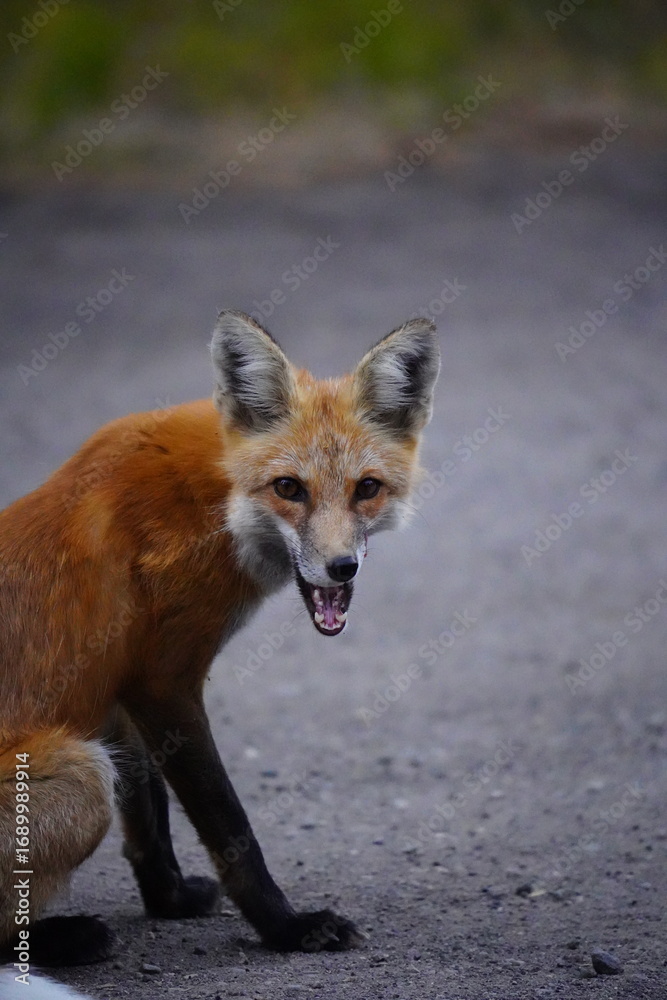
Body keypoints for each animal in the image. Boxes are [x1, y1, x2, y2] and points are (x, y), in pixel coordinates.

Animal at [0, 310, 440, 973]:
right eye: (289, 488)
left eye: (366, 488)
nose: (341, 568)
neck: (215, 501)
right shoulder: (165, 679)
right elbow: (230, 826)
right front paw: (287, 928)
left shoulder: (121, 681)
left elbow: (150, 814)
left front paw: (169, 899)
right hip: (79, 774)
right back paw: (62, 938)